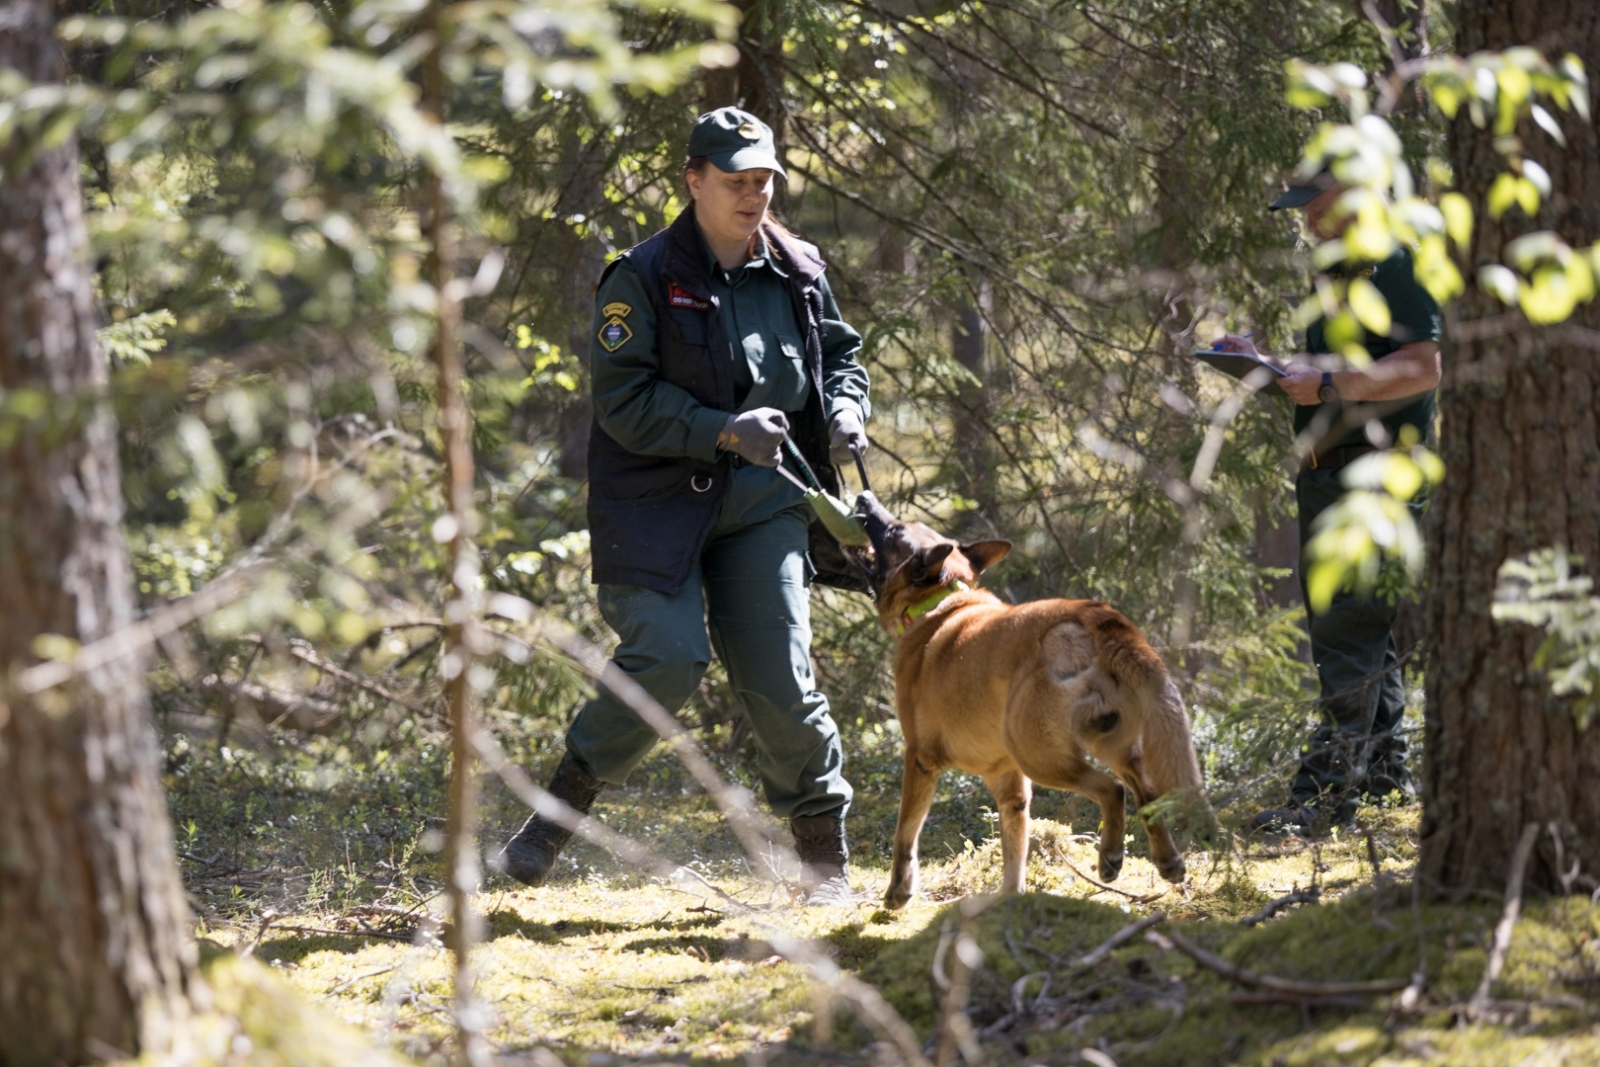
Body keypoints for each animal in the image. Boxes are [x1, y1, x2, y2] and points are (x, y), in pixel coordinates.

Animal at [857, 492, 1203, 908]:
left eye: (894, 530)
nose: (863, 498)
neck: (940, 603)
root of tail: (1095, 618)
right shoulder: (1009, 783)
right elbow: (1015, 847)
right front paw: (1011, 896)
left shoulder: (920, 759)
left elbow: (905, 831)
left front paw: (899, 890)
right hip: (1106, 742)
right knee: (1145, 793)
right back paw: (1165, 861)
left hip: (1037, 755)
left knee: (1113, 789)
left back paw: (1111, 857)